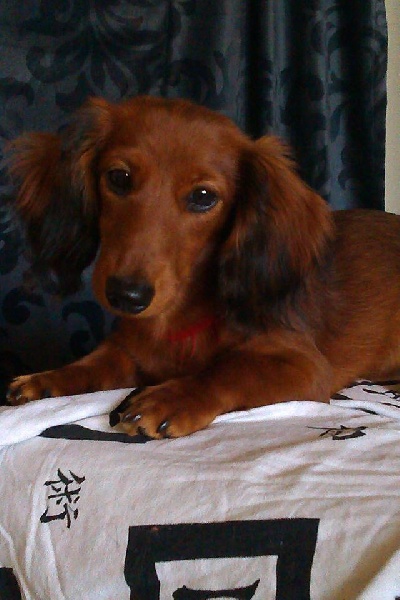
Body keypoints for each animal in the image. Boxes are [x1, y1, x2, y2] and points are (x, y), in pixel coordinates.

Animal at [6, 95, 400, 438]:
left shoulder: (303, 364)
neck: (177, 321)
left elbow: (232, 370)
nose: (127, 295)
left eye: (203, 197)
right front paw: (47, 379)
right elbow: (94, 363)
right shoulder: (129, 350)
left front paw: (172, 397)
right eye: (119, 178)